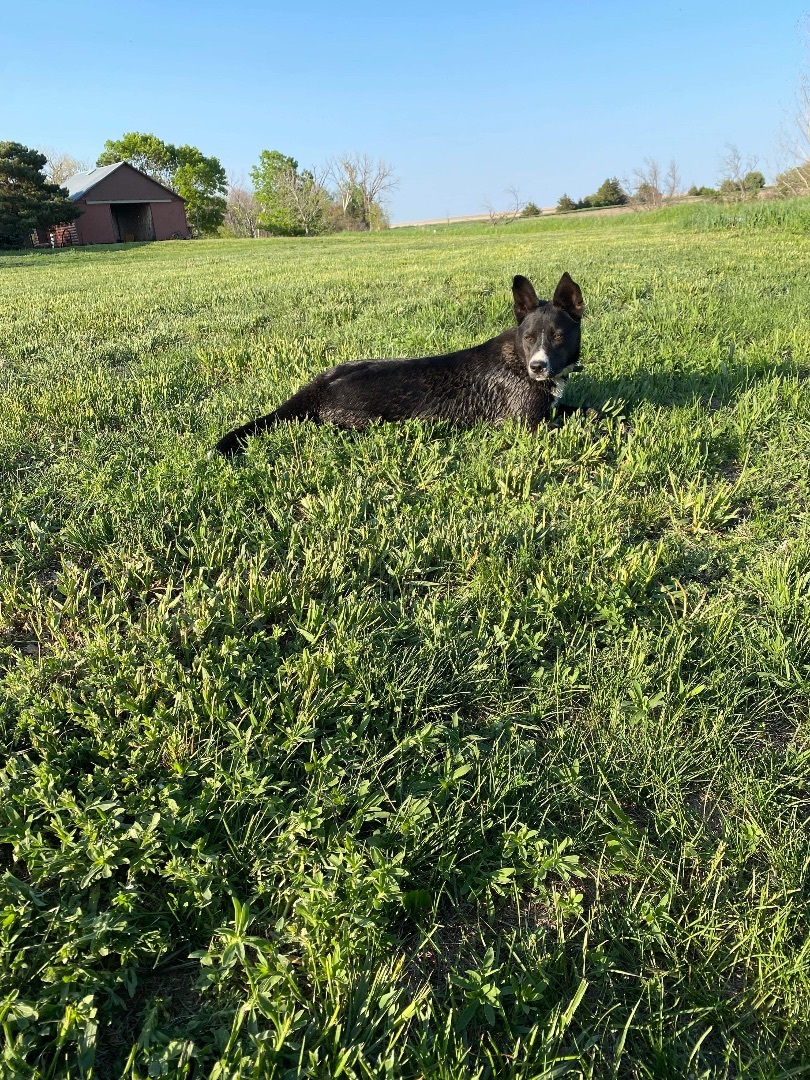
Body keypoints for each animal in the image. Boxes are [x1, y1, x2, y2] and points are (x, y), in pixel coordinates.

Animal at [216, 274, 596, 455]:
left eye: (557, 336)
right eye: (529, 337)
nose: (538, 367)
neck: (516, 359)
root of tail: (320, 385)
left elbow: (590, 411)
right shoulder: (526, 425)